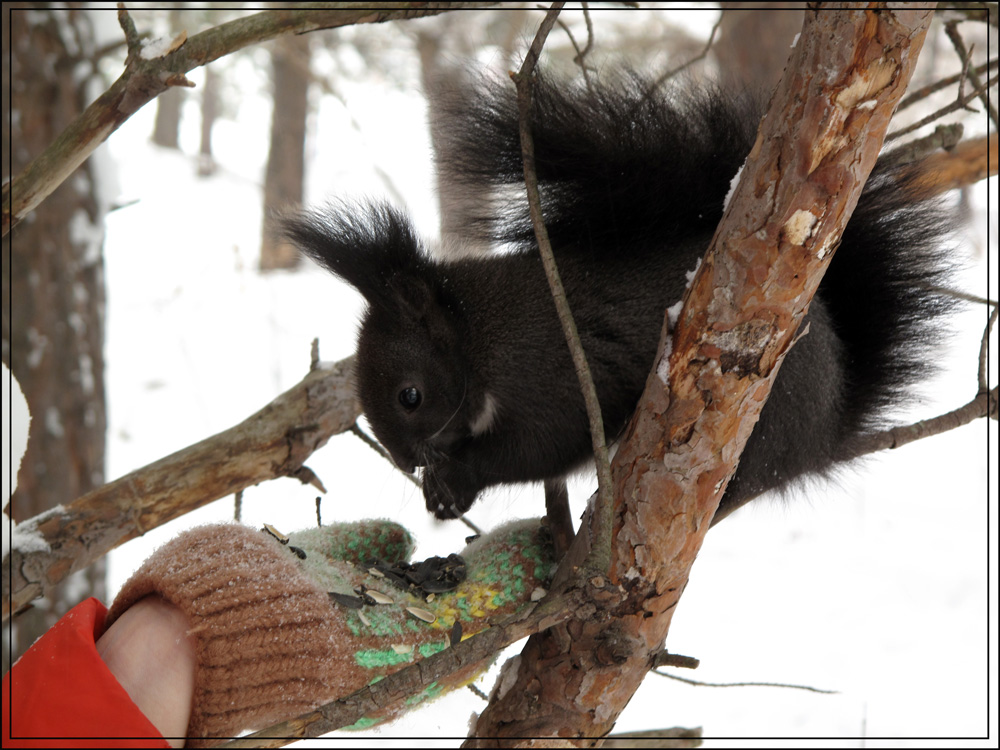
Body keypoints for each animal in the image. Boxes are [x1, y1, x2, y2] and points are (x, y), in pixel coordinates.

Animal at [282, 72, 952, 524]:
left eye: (410, 396)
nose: (408, 461)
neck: (479, 339)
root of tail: (827, 432)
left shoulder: (550, 380)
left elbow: (539, 449)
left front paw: (458, 477)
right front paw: (442, 492)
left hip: (764, 424)